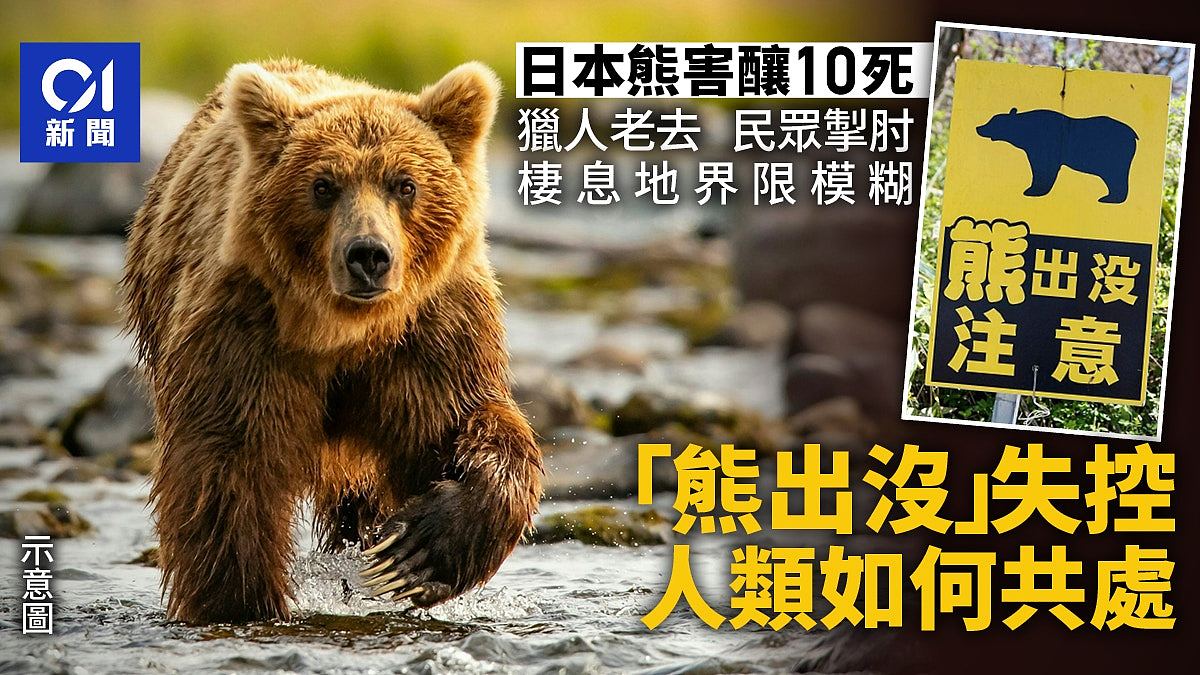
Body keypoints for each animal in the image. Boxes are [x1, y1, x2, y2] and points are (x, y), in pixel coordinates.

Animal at [122, 59, 543, 624]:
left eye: (404, 184)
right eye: (323, 186)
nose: (368, 255)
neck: (342, 333)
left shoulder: (430, 335)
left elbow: (468, 425)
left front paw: (414, 553)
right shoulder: (244, 333)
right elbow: (228, 468)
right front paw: (241, 601)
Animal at [975, 108, 1138, 204]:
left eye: (992, 121)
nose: (978, 128)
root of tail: (1133, 134)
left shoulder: (1045, 145)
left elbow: (1044, 168)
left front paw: (1033, 190)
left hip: (1114, 154)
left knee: (1116, 175)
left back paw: (1111, 198)